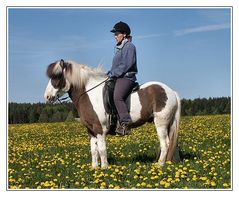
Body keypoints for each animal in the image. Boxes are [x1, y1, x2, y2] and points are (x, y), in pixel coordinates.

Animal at [43, 59, 181, 169]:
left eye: (57, 76)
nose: (47, 96)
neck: (88, 94)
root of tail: (172, 92)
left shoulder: (99, 129)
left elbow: (102, 149)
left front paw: (104, 168)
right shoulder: (91, 131)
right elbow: (94, 150)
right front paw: (94, 168)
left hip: (161, 123)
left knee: (165, 144)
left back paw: (160, 165)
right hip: (169, 123)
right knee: (172, 143)